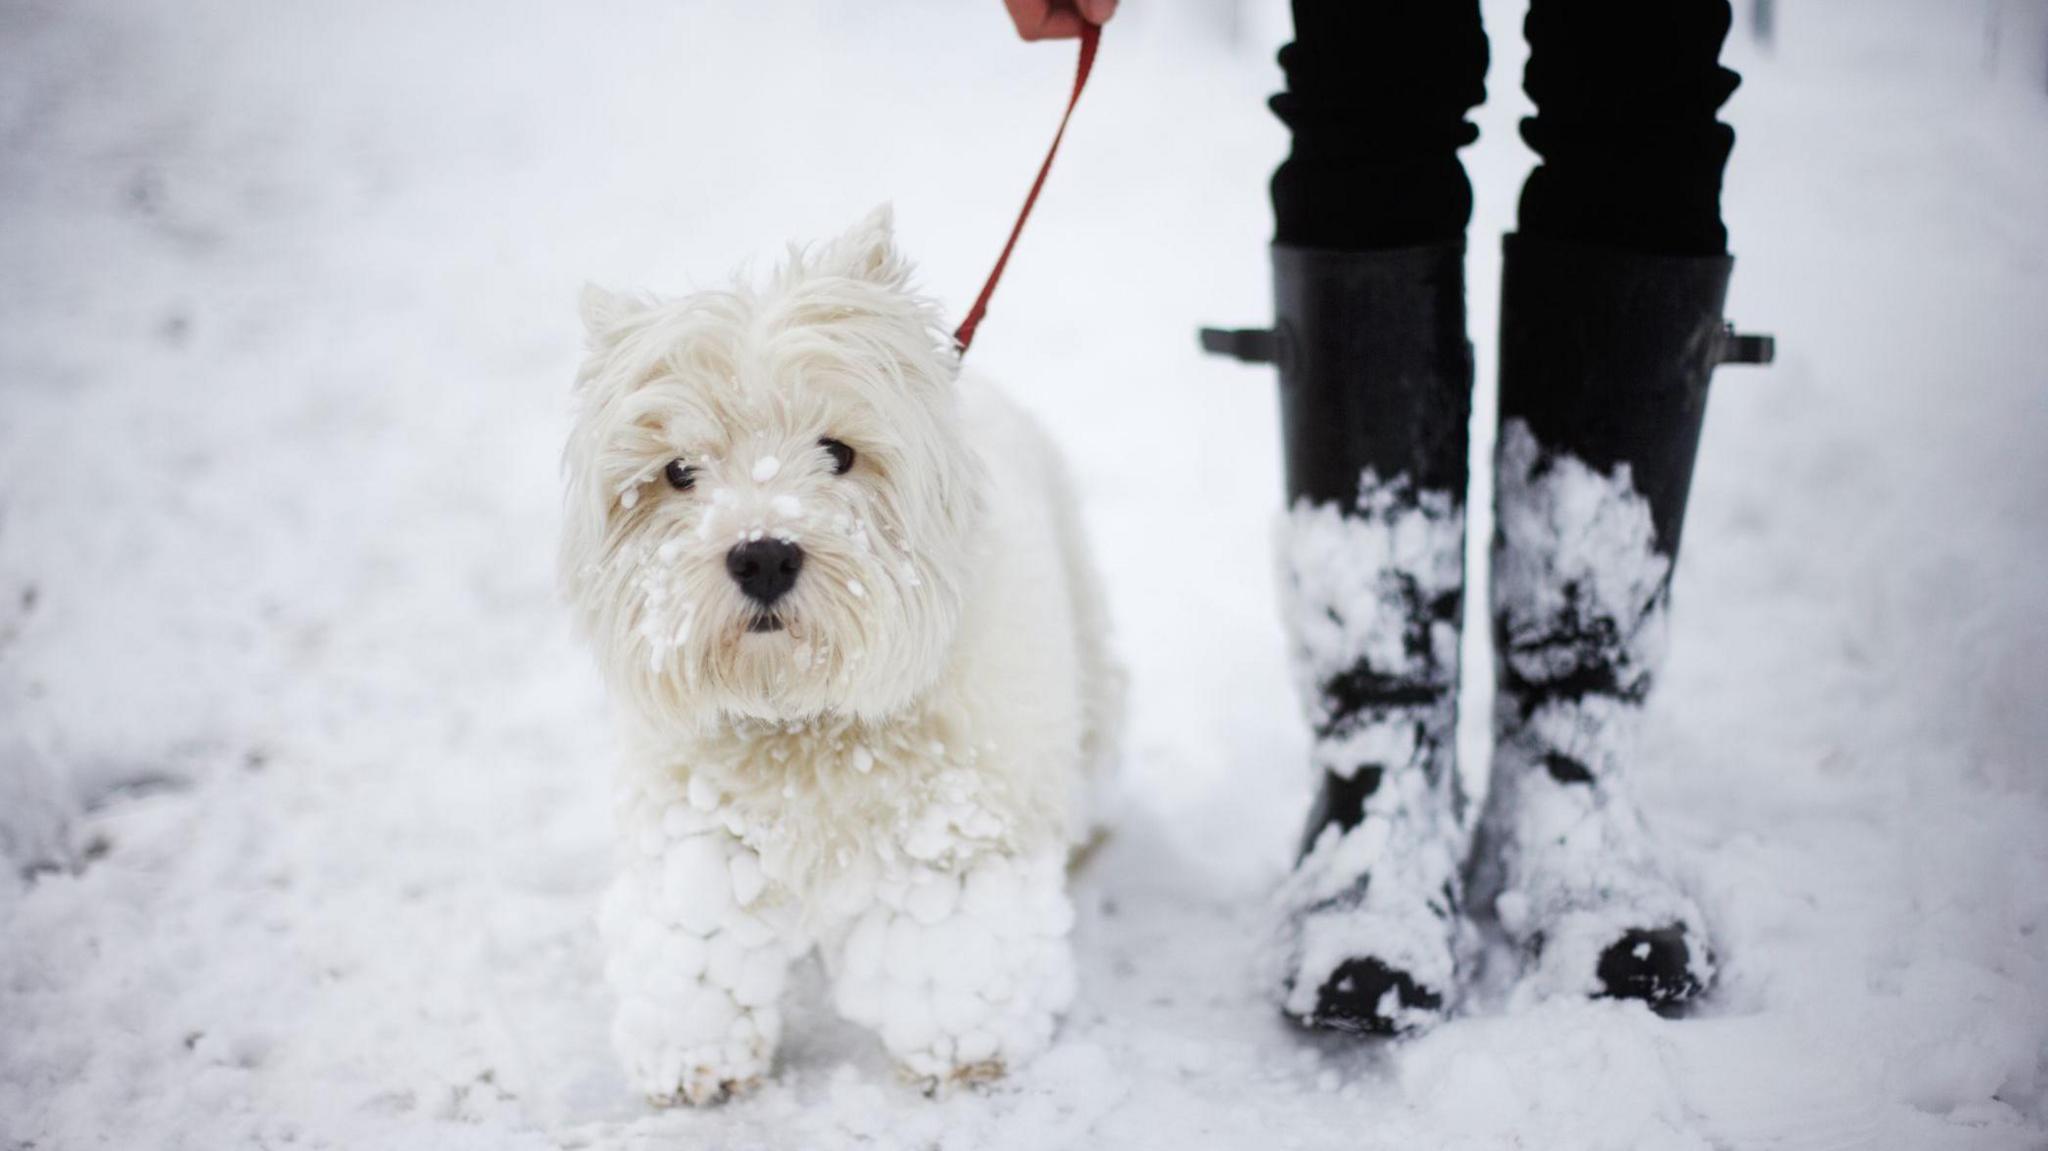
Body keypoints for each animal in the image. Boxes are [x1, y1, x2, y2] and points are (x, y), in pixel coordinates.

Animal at [561, 205, 1122, 1105]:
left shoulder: (953, 824)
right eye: (679, 470)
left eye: (838, 450)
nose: (762, 555)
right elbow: (694, 940)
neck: (803, 719)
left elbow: (953, 947)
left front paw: (963, 1046)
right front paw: (692, 1056)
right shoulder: (695, 822)